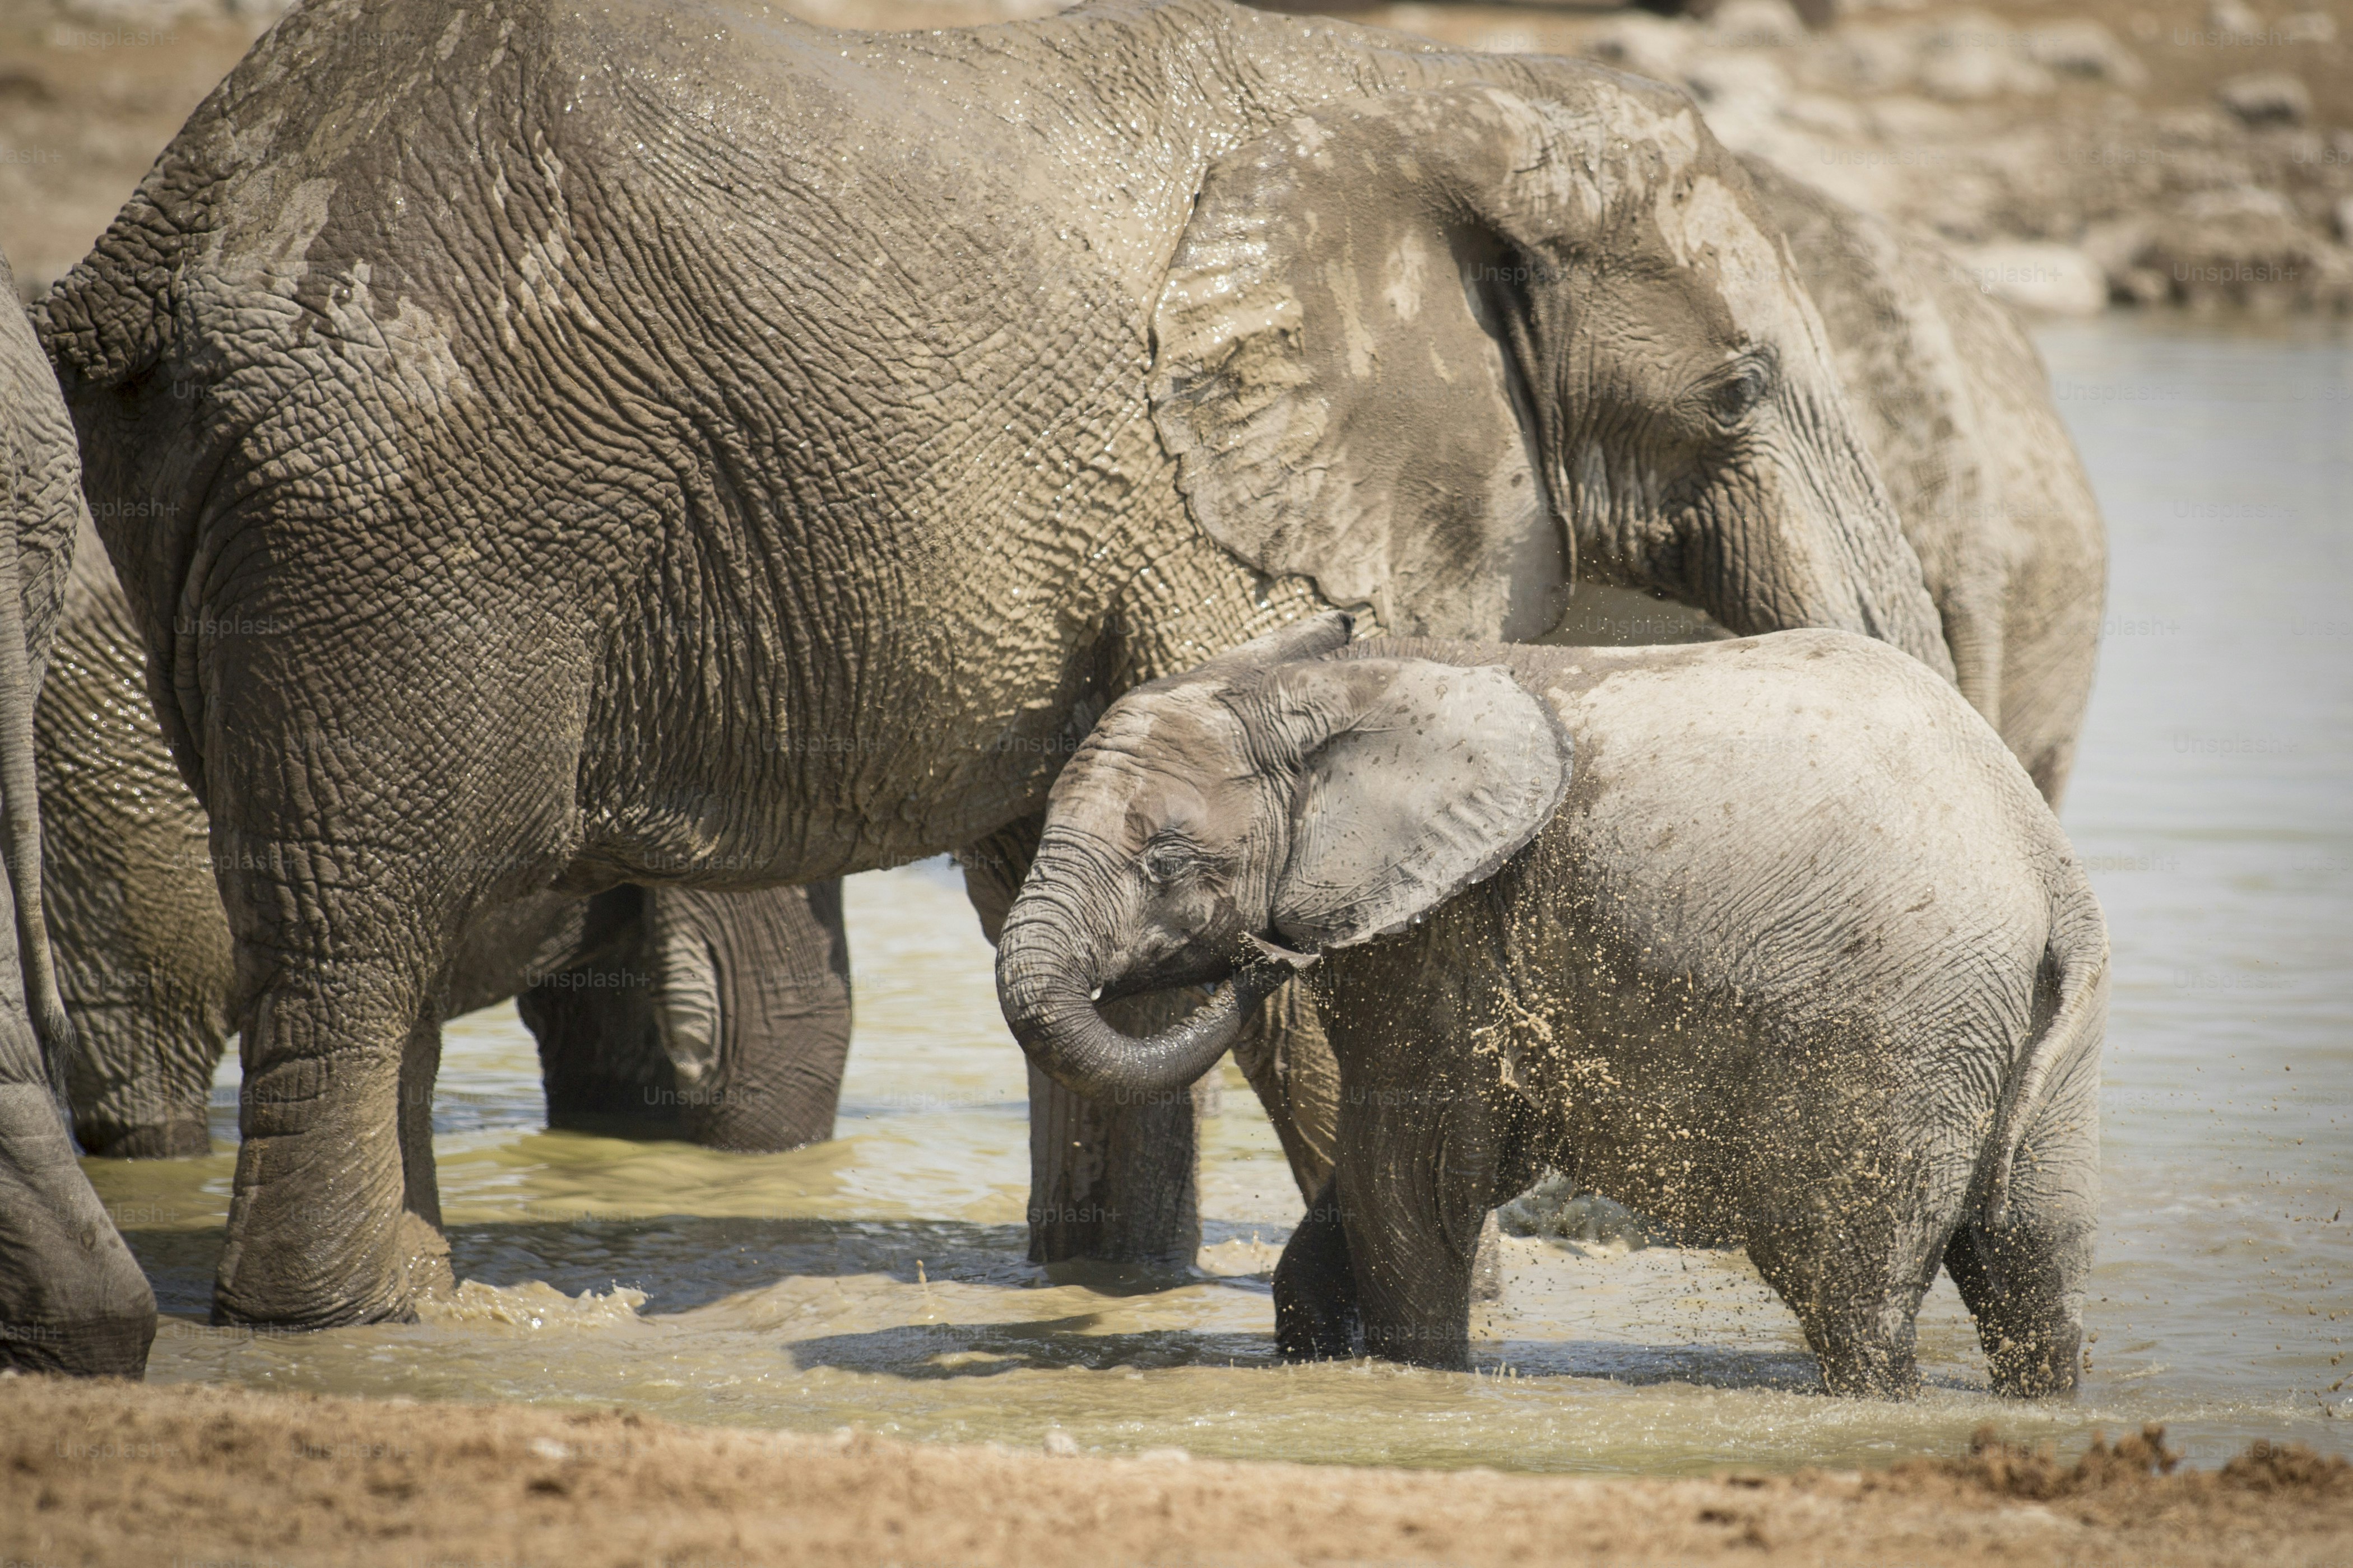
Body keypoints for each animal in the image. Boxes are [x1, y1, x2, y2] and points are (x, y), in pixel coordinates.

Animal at [996, 614, 2108, 1398]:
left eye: (1164, 859)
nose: (1260, 955)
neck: (1338, 680)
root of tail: (2046, 873)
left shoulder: (1439, 927)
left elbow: (1405, 1173)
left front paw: (1419, 1378)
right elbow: (1370, 1191)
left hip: (1894, 1037)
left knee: (1853, 1296)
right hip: (2021, 1037)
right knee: (2029, 1268)